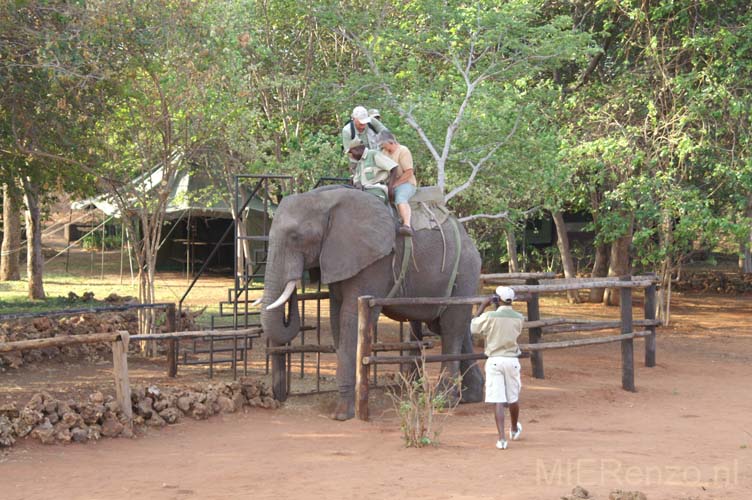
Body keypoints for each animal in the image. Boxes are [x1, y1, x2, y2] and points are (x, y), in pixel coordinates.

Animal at [258, 186, 482, 420]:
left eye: (296, 236)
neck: (325, 200)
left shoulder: (376, 261)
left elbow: (351, 317)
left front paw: (342, 415)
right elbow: (337, 318)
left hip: (465, 271)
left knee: (451, 328)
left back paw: (445, 401)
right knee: (455, 326)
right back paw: (470, 398)